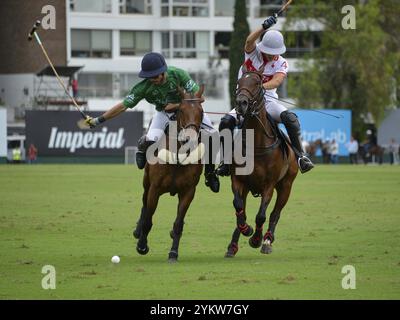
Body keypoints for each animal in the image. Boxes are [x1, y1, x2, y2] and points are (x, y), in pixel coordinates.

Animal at [133, 85, 205, 262]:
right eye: (181, 110)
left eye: (201, 111)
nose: (190, 140)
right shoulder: (155, 189)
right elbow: (148, 219)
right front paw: (142, 246)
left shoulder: (188, 191)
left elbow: (178, 223)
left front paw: (173, 252)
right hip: (146, 183)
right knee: (144, 205)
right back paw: (138, 231)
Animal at [225, 65, 296, 258]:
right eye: (239, 81)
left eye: (257, 82)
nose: (241, 103)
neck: (256, 143)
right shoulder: (238, 180)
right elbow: (238, 207)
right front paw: (246, 229)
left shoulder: (269, 185)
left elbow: (261, 215)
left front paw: (256, 239)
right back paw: (233, 246)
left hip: (286, 185)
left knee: (275, 213)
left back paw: (267, 240)